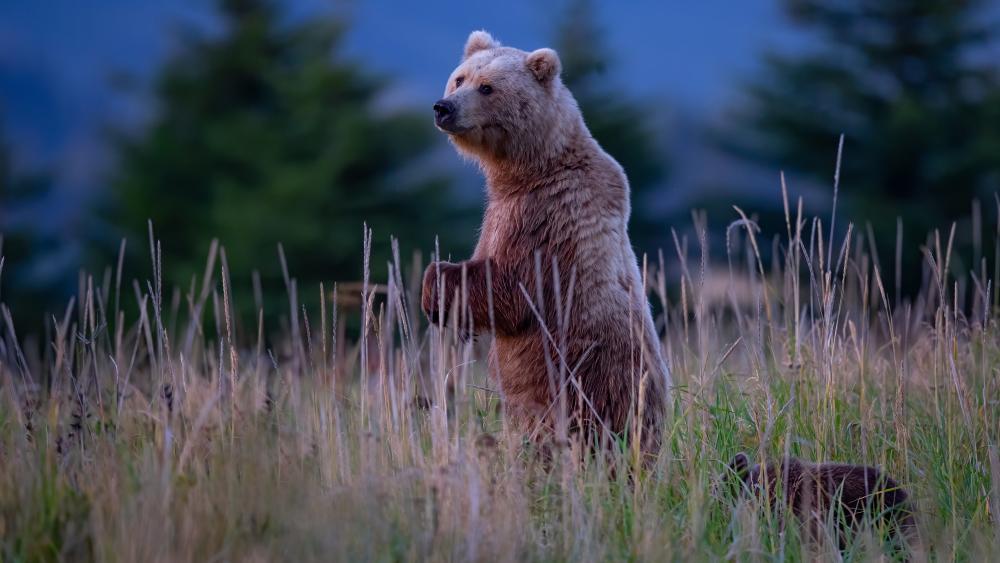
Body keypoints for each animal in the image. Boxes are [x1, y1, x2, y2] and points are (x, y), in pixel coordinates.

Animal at [421, 30, 671, 457]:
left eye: (487, 87)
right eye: (459, 79)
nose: (444, 108)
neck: (529, 168)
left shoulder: (543, 217)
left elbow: (508, 287)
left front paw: (435, 287)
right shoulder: (501, 210)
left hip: (588, 380)